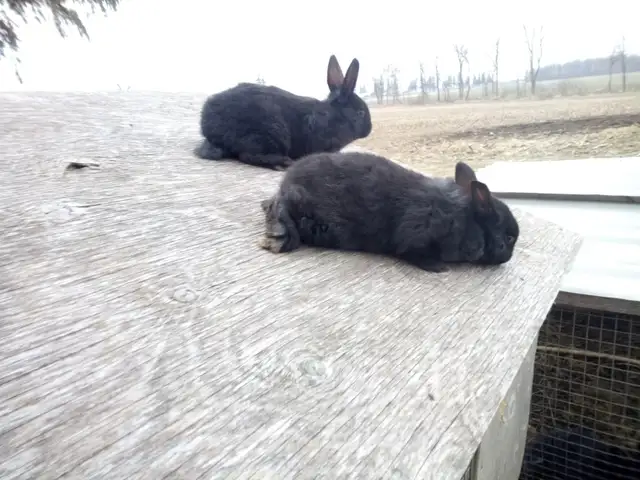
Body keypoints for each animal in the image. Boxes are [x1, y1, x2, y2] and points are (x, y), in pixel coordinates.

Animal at [194, 55, 372, 170]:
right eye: (361, 113)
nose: (369, 130)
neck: (335, 116)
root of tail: (207, 125)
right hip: (269, 133)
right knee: (247, 155)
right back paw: (282, 163)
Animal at [258, 151, 519, 273]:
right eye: (508, 238)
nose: (508, 258)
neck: (466, 220)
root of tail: (288, 180)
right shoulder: (416, 235)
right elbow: (413, 253)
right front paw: (438, 268)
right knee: (280, 206)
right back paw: (279, 237)